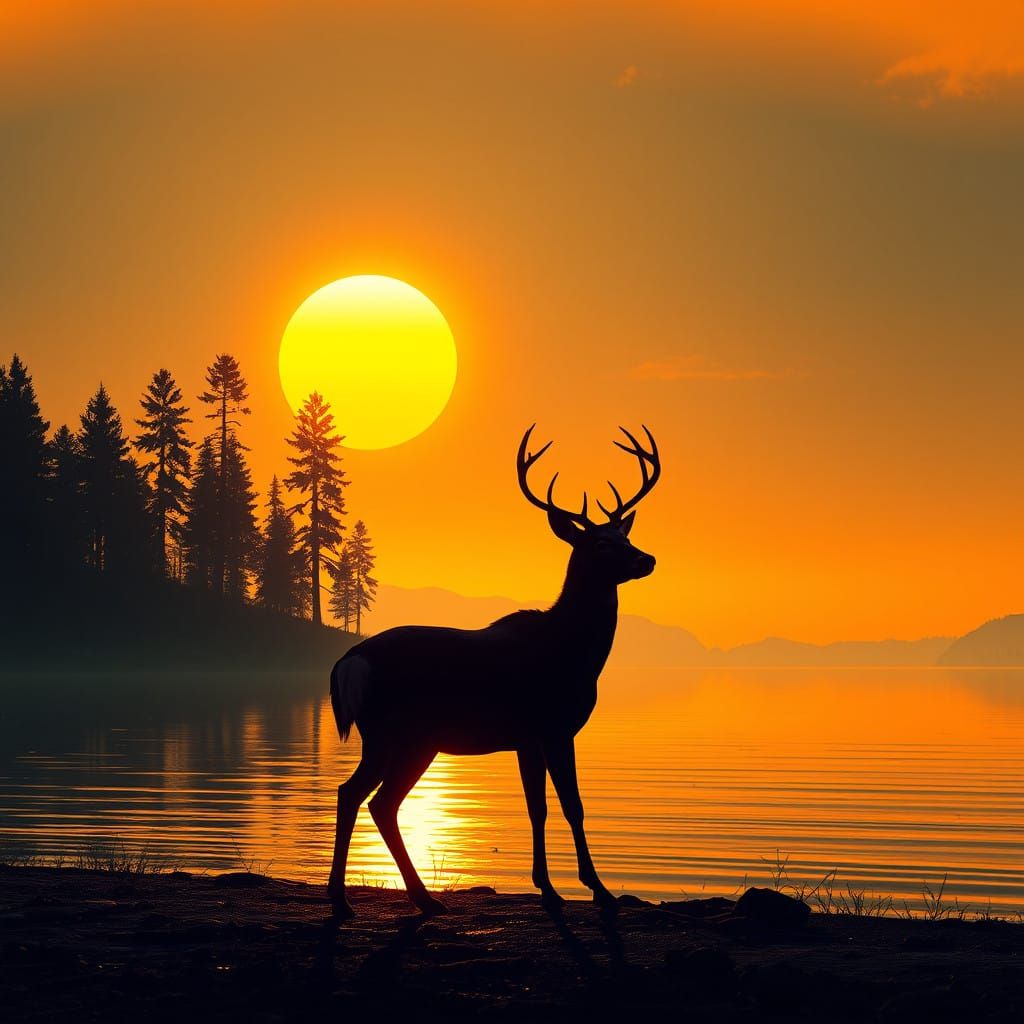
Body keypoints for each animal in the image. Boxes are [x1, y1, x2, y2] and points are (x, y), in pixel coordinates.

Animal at [326, 425, 661, 918]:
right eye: (601, 542)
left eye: (625, 535)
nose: (646, 559)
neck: (576, 653)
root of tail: (350, 663)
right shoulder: (552, 727)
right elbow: (570, 805)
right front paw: (595, 889)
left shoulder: (527, 737)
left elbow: (538, 807)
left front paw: (550, 887)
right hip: (400, 734)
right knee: (372, 799)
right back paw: (394, 898)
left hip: (398, 739)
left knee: (361, 796)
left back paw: (385, 898)